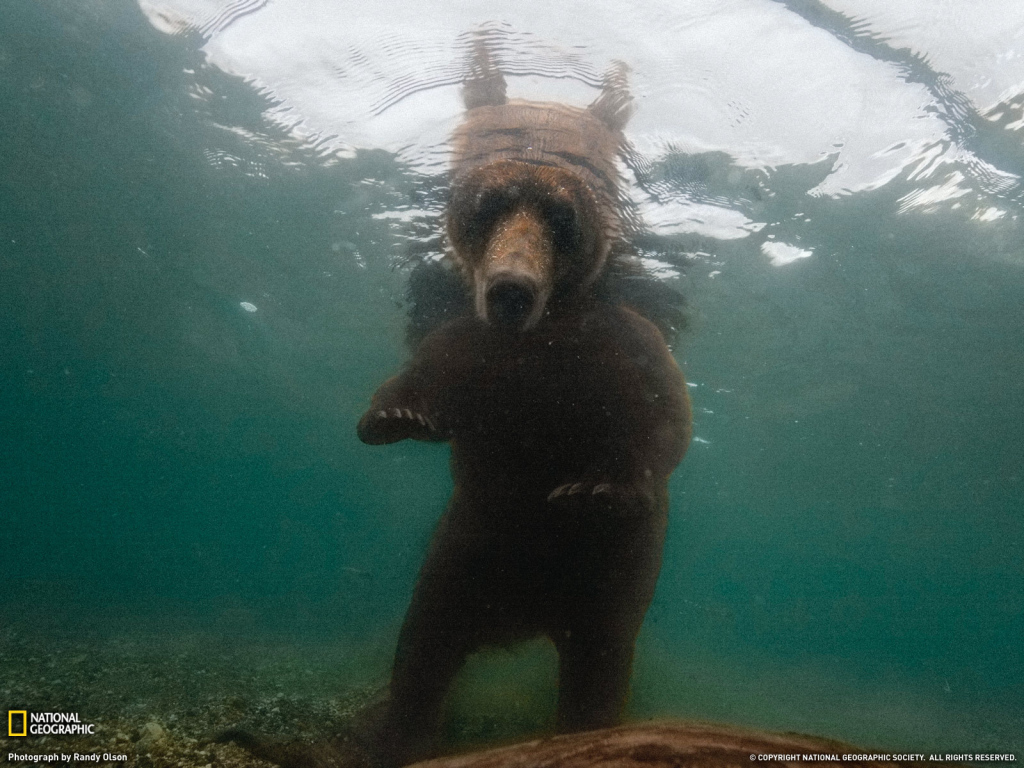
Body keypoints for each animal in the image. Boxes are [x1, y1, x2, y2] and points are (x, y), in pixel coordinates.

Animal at [350, 46, 693, 767]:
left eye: (562, 215)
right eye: (488, 205)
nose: (511, 288)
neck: (542, 339)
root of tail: (524, 618)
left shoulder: (621, 346)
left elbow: (661, 419)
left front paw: (598, 483)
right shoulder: (475, 349)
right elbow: (427, 379)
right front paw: (394, 417)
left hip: (606, 576)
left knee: (598, 662)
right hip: (467, 547)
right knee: (425, 643)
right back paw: (398, 733)